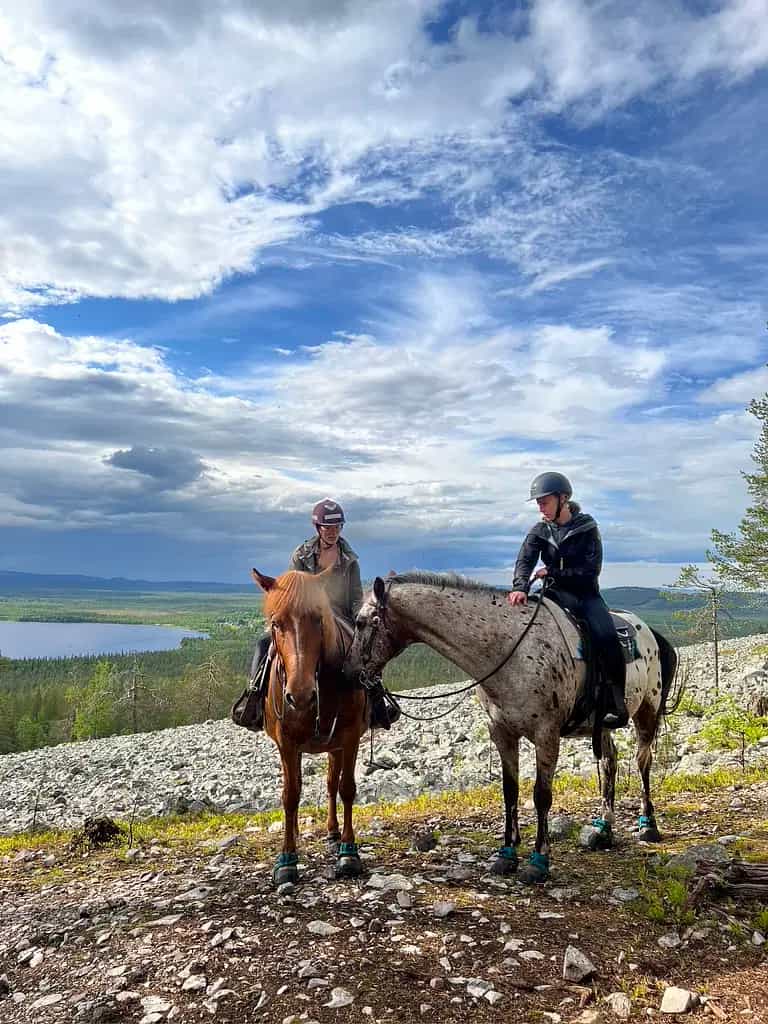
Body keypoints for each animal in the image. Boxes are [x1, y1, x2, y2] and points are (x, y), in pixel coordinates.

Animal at [252, 569, 370, 888]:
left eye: (318, 619)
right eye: (275, 623)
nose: (301, 695)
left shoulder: (349, 738)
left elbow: (346, 789)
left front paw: (348, 852)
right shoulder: (287, 743)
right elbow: (290, 796)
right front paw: (287, 859)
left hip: (335, 746)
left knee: (331, 785)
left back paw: (332, 833)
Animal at [348, 573, 679, 884]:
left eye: (361, 622)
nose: (348, 672)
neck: (509, 651)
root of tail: (648, 630)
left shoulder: (546, 735)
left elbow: (541, 795)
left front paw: (538, 861)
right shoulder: (502, 733)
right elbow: (510, 791)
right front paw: (506, 854)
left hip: (647, 711)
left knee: (643, 761)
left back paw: (648, 825)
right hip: (602, 726)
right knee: (610, 762)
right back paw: (604, 828)